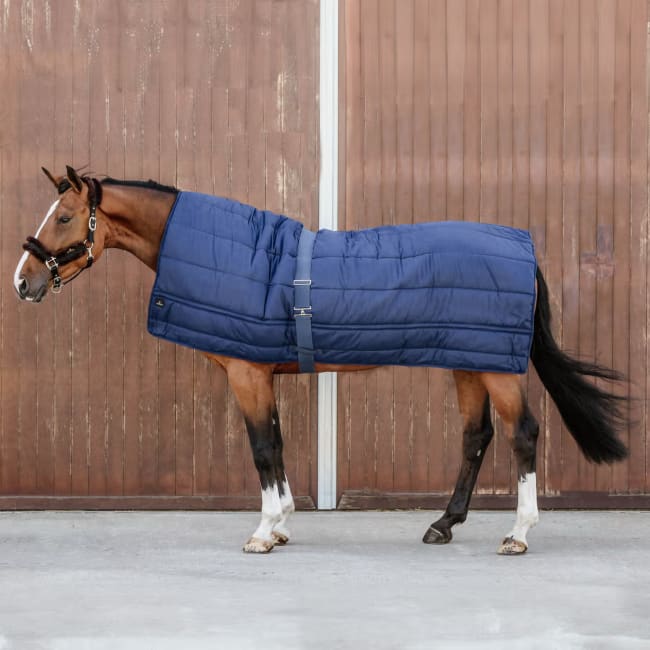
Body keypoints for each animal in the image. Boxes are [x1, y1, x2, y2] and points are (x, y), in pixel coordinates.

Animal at [14, 166, 628, 555]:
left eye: (64, 218)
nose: (24, 281)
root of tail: (521, 246)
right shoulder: (262, 372)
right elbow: (278, 444)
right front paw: (283, 523)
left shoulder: (247, 374)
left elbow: (263, 448)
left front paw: (263, 532)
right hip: (468, 361)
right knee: (476, 437)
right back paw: (443, 525)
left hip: (497, 369)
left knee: (523, 434)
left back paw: (519, 534)